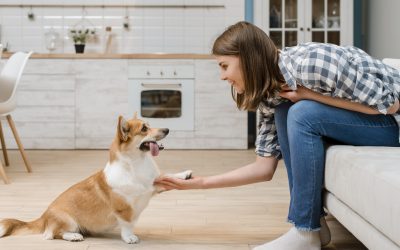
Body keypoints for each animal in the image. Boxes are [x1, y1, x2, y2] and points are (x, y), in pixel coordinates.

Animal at [0, 115, 192, 244]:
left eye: (149, 125)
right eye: (144, 128)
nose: (167, 130)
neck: (136, 163)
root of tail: (43, 216)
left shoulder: (151, 185)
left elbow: (166, 176)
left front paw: (185, 175)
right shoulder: (124, 208)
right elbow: (127, 224)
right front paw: (129, 238)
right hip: (67, 220)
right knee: (52, 234)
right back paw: (74, 236)